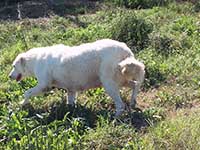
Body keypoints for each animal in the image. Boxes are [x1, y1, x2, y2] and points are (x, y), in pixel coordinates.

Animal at [9, 39, 144, 116]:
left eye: (14, 66)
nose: (9, 76)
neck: (35, 60)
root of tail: (125, 50)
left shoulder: (44, 85)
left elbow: (27, 92)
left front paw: (22, 103)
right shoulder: (71, 89)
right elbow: (70, 102)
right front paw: (71, 113)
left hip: (109, 83)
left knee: (120, 104)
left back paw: (116, 117)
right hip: (120, 80)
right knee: (135, 84)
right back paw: (133, 102)